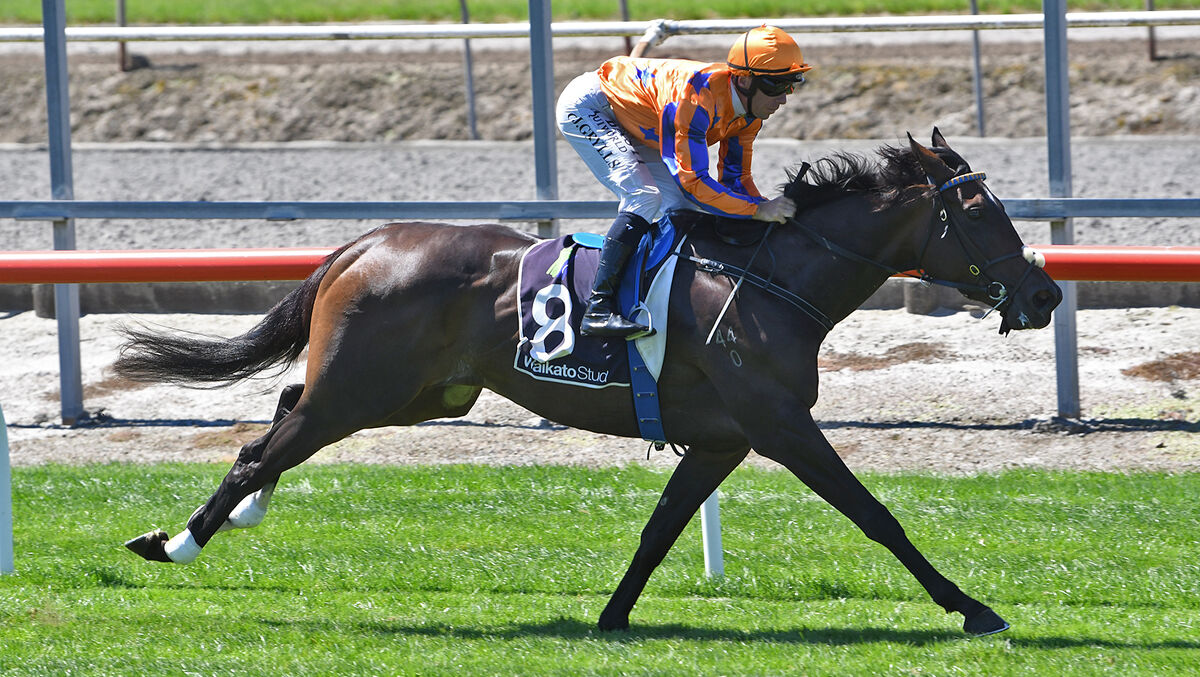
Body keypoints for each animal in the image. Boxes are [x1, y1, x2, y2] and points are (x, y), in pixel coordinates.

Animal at [117, 129, 1061, 636]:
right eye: (980, 211)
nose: (1046, 294)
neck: (768, 279)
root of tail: (368, 241)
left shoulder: (722, 439)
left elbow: (659, 530)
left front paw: (612, 617)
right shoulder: (779, 423)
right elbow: (876, 514)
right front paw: (972, 607)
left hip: (416, 391)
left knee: (282, 417)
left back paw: (237, 514)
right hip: (365, 388)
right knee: (261, 446)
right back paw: (177, 541)